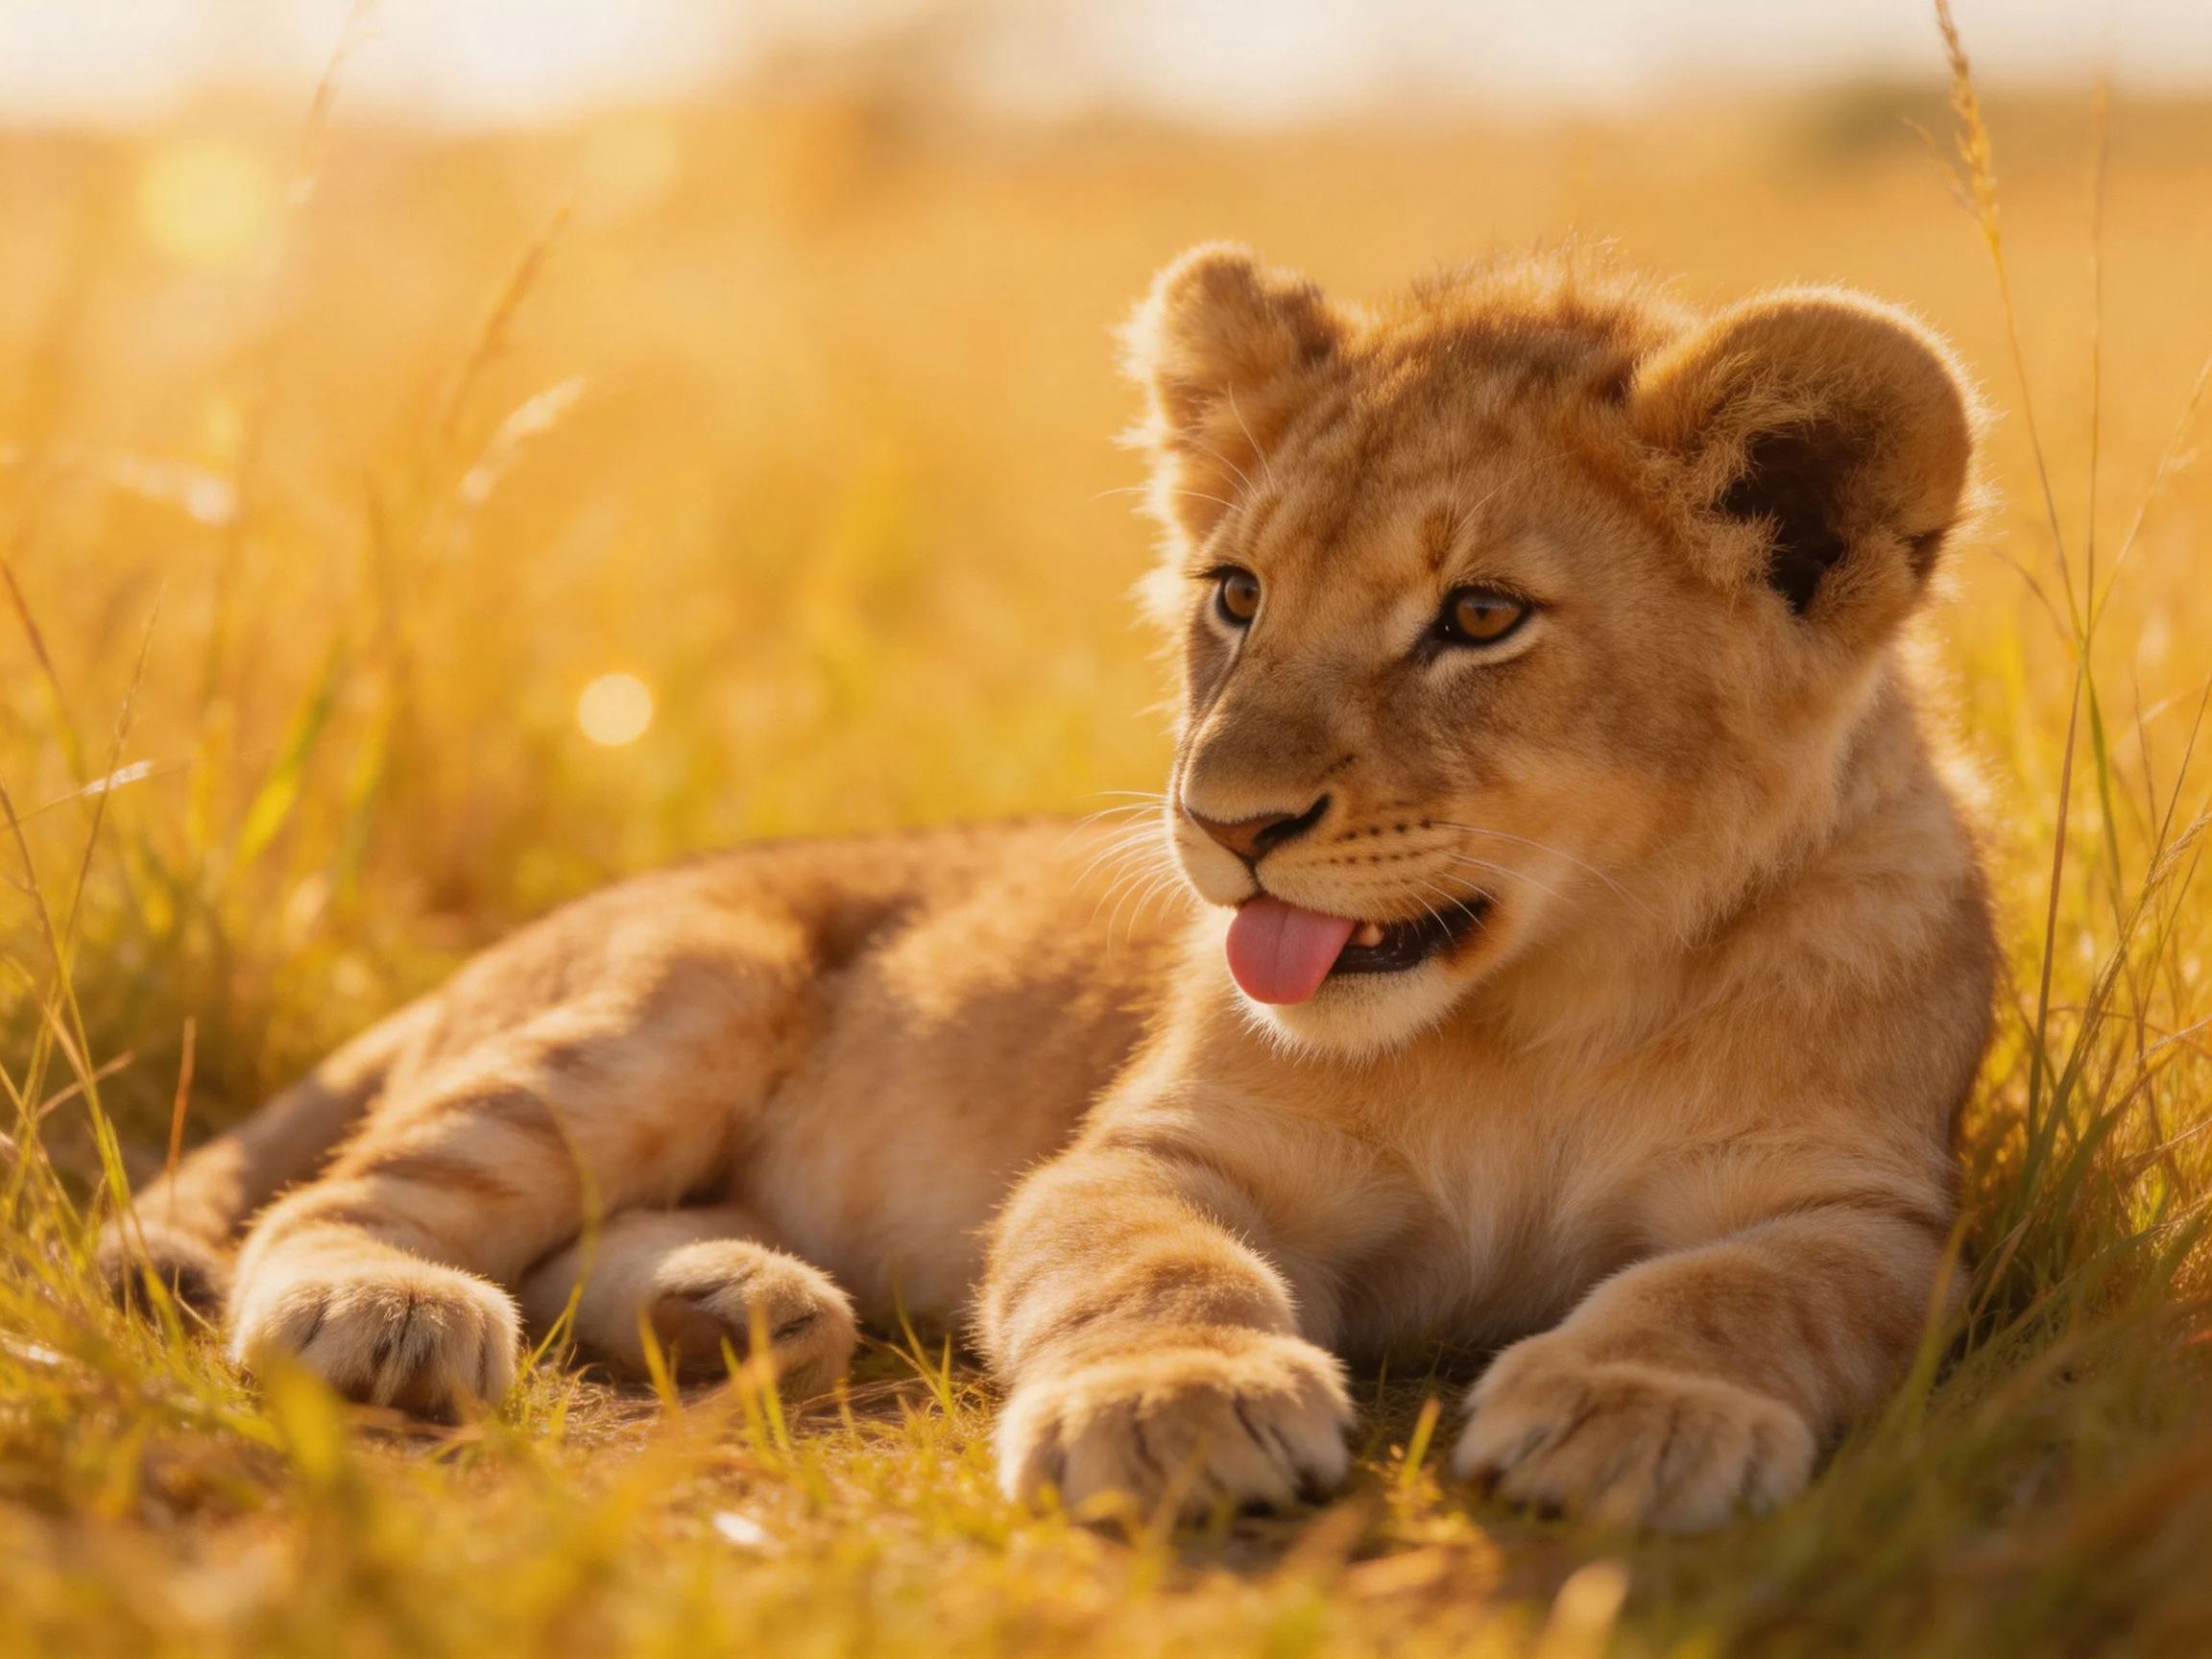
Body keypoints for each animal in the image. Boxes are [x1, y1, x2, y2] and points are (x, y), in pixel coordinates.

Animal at [105, 244, 1995, 1531]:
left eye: (1478, 618)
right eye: (1236, 593)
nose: (1223, 821)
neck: (1538, 1007)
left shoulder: (1858, 1206)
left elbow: (1738, 1289)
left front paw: (1634, 1405)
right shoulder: (1161, 1147)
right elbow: (1146, 1258)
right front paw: (1177, 1402)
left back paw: (738, 1304)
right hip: (678, 988)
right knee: (346, 1199)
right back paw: (389, 1307)